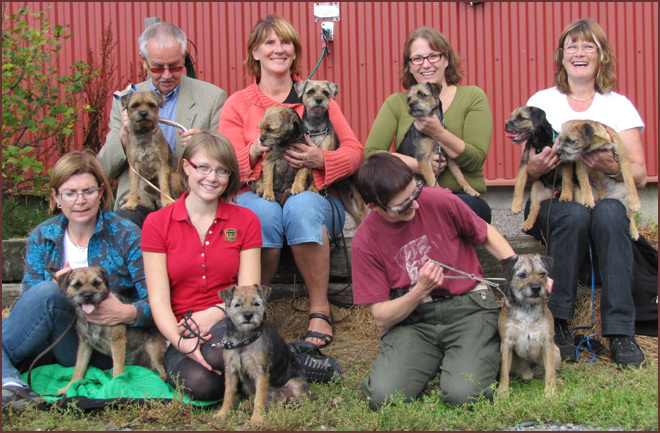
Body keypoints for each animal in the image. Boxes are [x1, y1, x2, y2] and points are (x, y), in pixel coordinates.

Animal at [55, 264, 168, 394]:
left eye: (96, 283)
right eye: (77, 285)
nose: (88, 295)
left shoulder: (117, 341)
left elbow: (118, 369)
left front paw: (116, 386)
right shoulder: (84, 344)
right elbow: (79, 366)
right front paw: (69, 387)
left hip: (150, 347)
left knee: (162, 372)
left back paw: (158, 380)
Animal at [215, 284, 310, 426]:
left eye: (256, 303)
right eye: (237, 304)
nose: (248, 315)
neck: (244, 338)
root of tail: (279, 400)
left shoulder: (261, 372)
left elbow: (259, 397)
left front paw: (256, 419)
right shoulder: (231, 370)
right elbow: (228, 393)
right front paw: (223, 413)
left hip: (296, 385)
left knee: (304, 401)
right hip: (246, 385)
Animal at [296, 79, 368, 226]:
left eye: (326, 92)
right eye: (310, 91)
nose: (319, 100)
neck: (315, 126)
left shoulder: (321, 156)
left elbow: (318, 175)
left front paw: (313, 188)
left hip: (356, 191)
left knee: (362, 212)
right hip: (344, 197)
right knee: (356, 216)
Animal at [500, 255, 564, 396]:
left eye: (542, 274)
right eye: (522, 275)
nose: (536, 288)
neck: (527, 308)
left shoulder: (547, 342)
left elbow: (550, 371)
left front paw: (550, 393)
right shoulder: (507, 343)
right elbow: (504, 372)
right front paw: (503, 392)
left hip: (556, 351)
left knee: (547, 372)